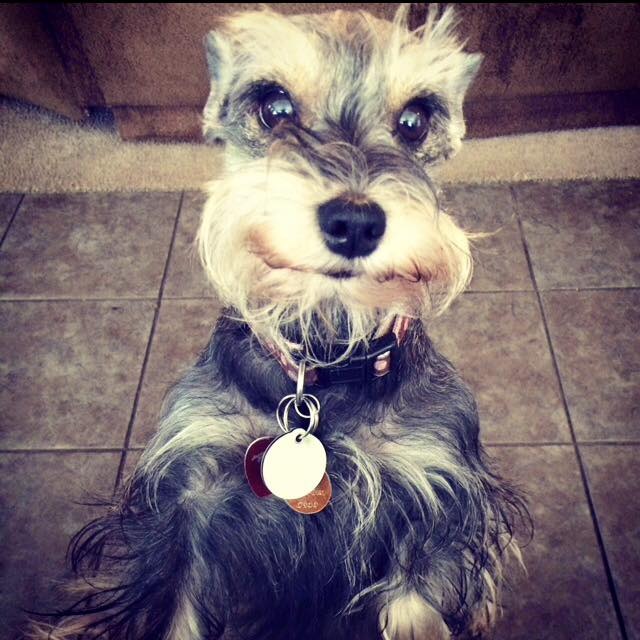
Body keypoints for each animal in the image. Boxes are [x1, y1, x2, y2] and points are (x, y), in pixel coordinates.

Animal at [35, 5, 529, 639]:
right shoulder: (184, 504)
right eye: (275, 106)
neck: (326, 360)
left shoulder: (430, 499)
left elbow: (417, 604)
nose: (355, 222)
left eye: (415, 120)